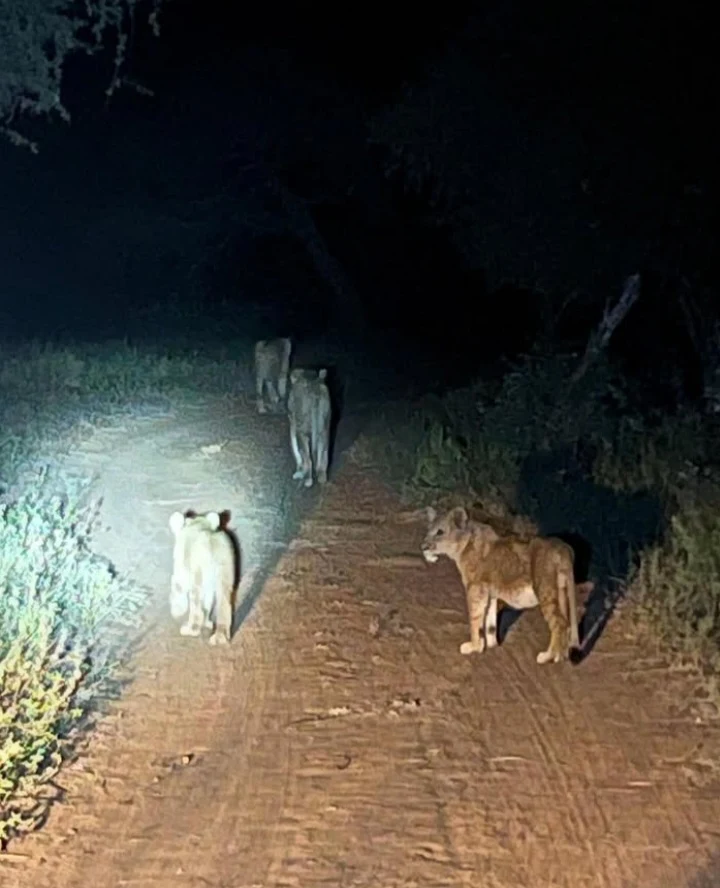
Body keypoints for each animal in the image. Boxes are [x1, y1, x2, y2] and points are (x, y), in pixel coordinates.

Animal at [168, 509, 237, 645]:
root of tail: (211, 541)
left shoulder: (182, 566)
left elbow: (178, 587)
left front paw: (176, 611)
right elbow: (208, 602)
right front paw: (207, 623)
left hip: (198, 574)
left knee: (196, 606)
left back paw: (190, 630)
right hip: (225, 570)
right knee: (224, 603)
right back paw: (220, 637)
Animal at [421, 506, 585, 664]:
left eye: (440, 532)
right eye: (428, 530)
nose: (423, 547)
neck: (464, 544)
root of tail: (564, 548)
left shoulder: (476, 588)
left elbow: (475, 618)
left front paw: (473, 646)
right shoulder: (491, 593)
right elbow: (490, 623)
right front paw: (491, 647)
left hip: (545, 590)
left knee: (559, 624)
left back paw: (547, 657)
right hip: (561, 591)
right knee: (566, 624)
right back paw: (560, 656)